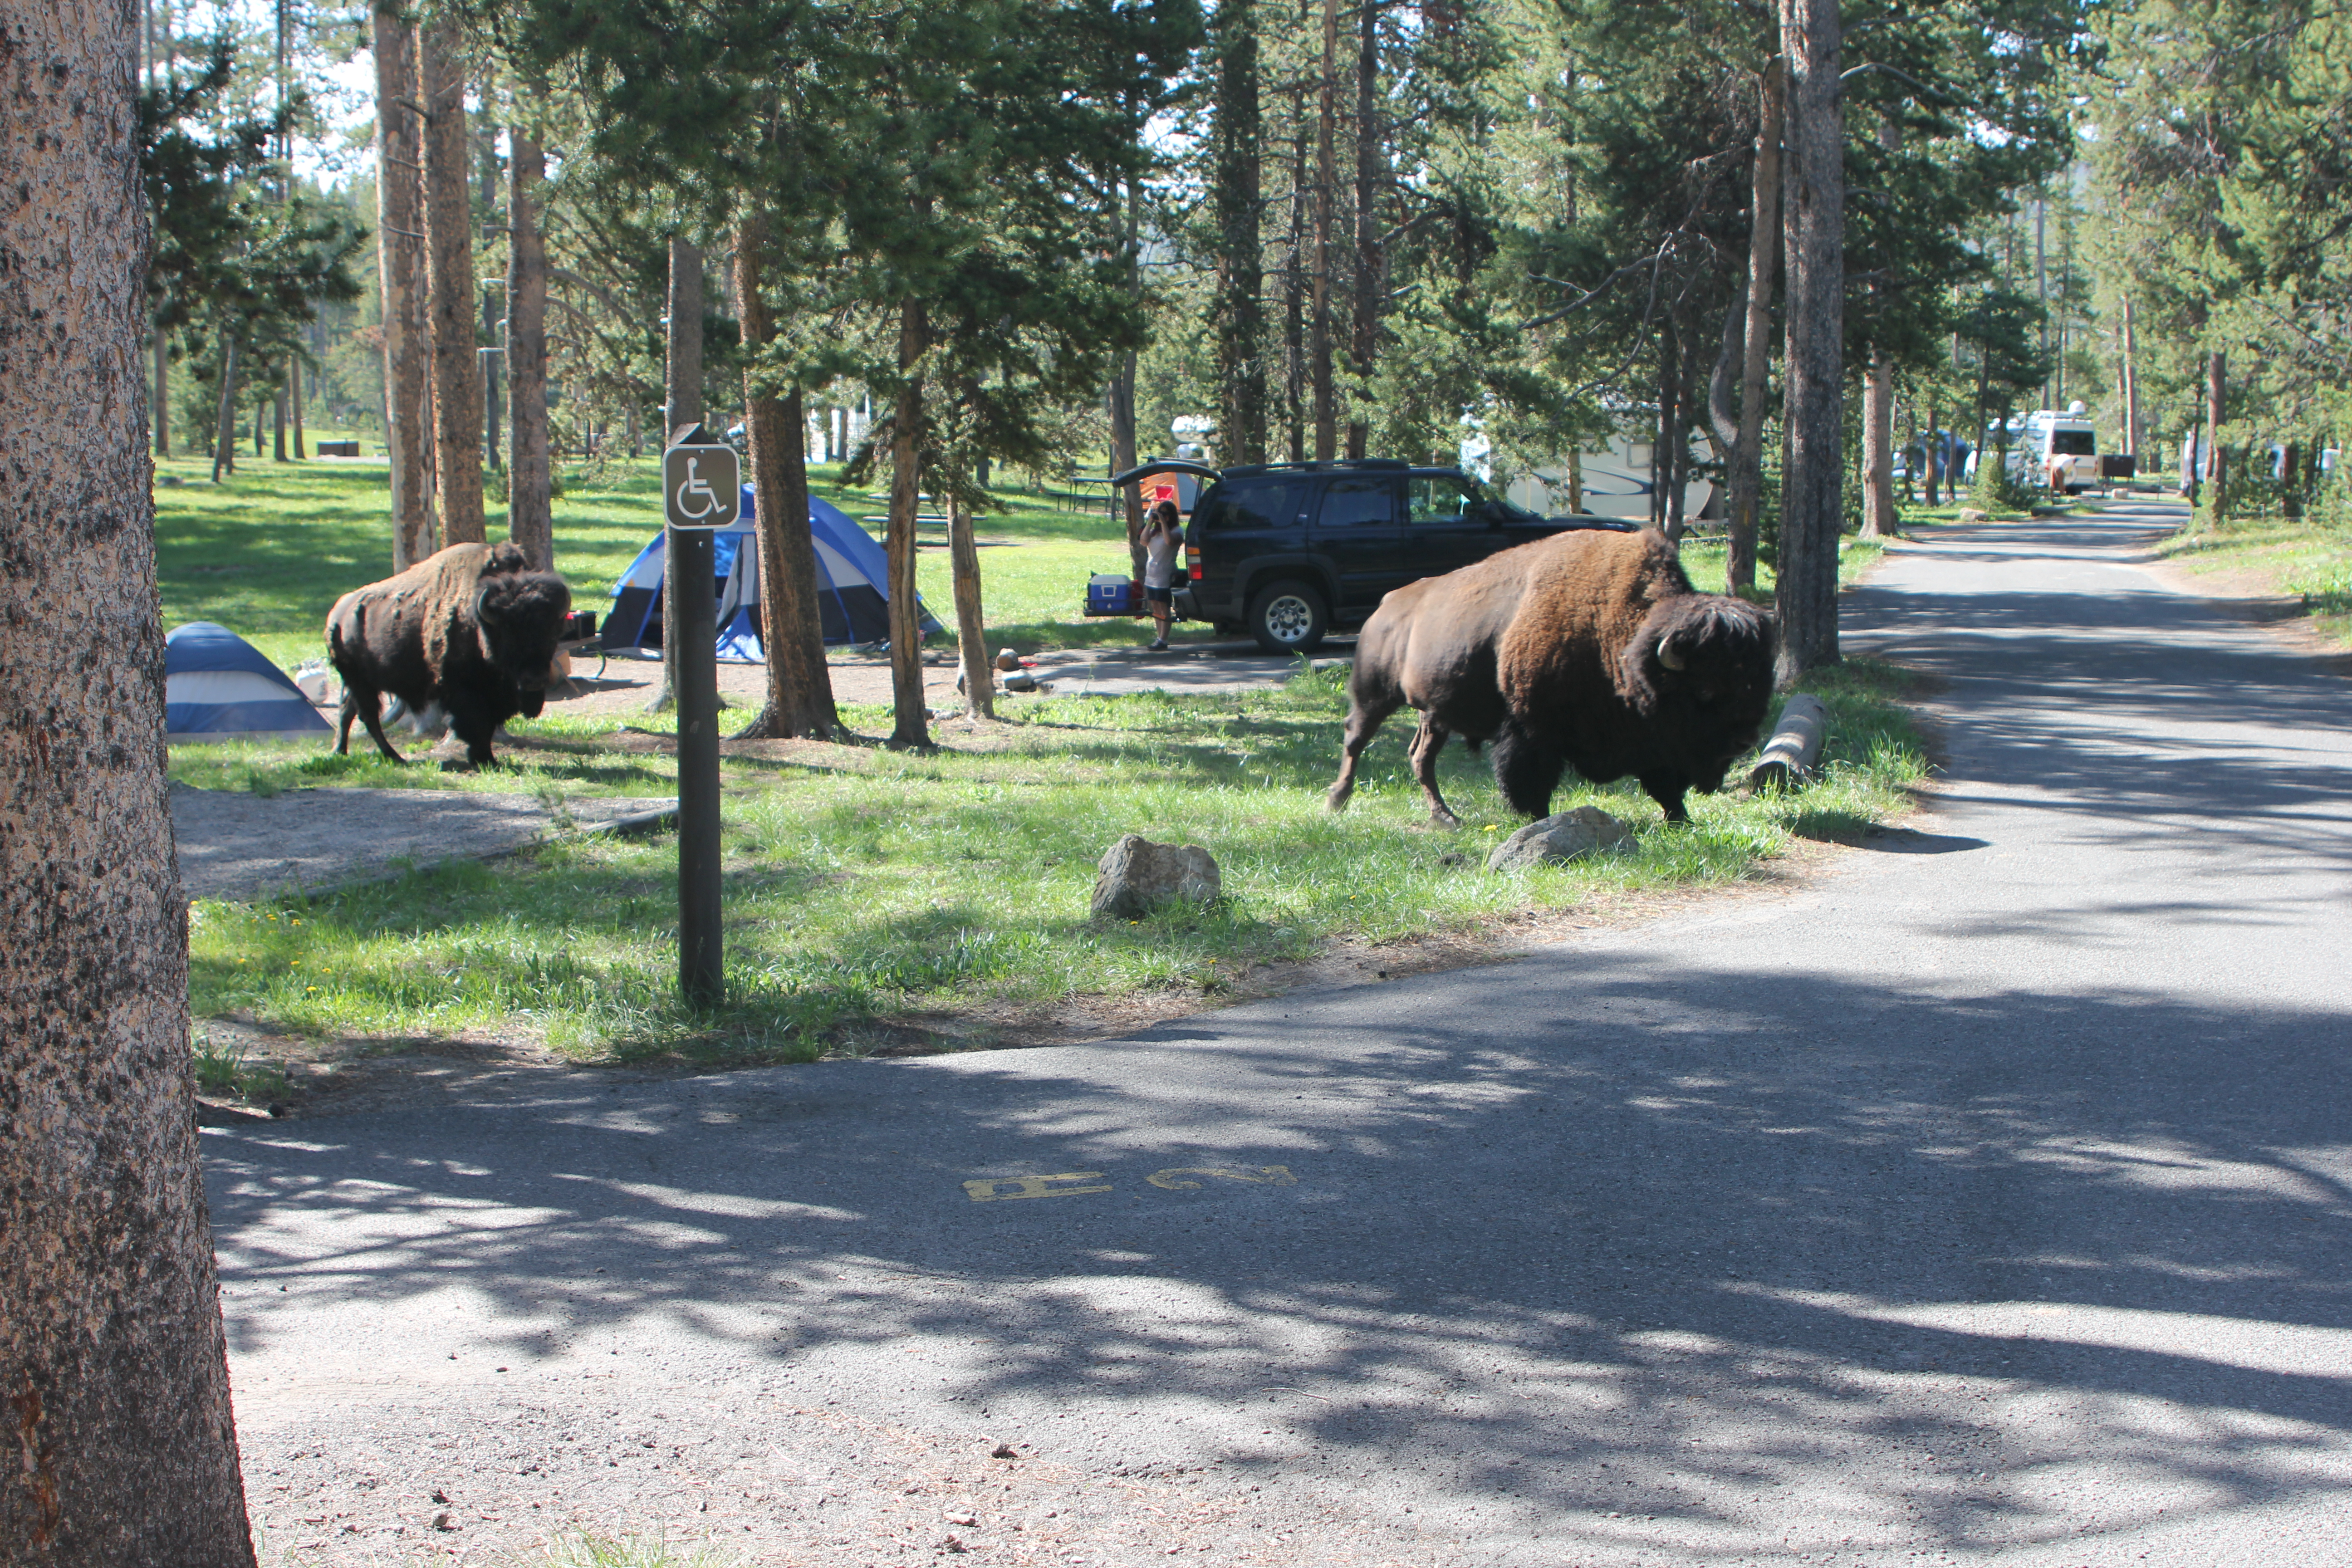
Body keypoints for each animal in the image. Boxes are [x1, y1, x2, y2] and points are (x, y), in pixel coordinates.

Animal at [327, 542, 572, 767]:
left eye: (552, 634)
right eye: (509, 635)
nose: (535, 680)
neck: (482, 626)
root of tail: (337, 614)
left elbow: (488, 724)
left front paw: (486, 759)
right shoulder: (465, 690)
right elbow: (476, 724)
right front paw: (484, 759)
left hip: (357, 681)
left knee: (347, 710)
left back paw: (342, 752)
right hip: (359, 681)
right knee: (368, 716)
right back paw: (393, 757)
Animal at [1326, 527, 1776, 825]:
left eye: (1759, 683)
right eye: (1706, 690)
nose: (1746, 740)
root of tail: (1387, 604)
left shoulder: (1650, 744)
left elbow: (1664, 784)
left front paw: (1682, 820)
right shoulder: (1531, 730)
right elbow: (1529, 780)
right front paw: (1538, 821)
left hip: (1435, 714)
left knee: (1421, 757)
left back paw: (1446, 818)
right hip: (1374, 695)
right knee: (1355, 739)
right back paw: (1337, 800)